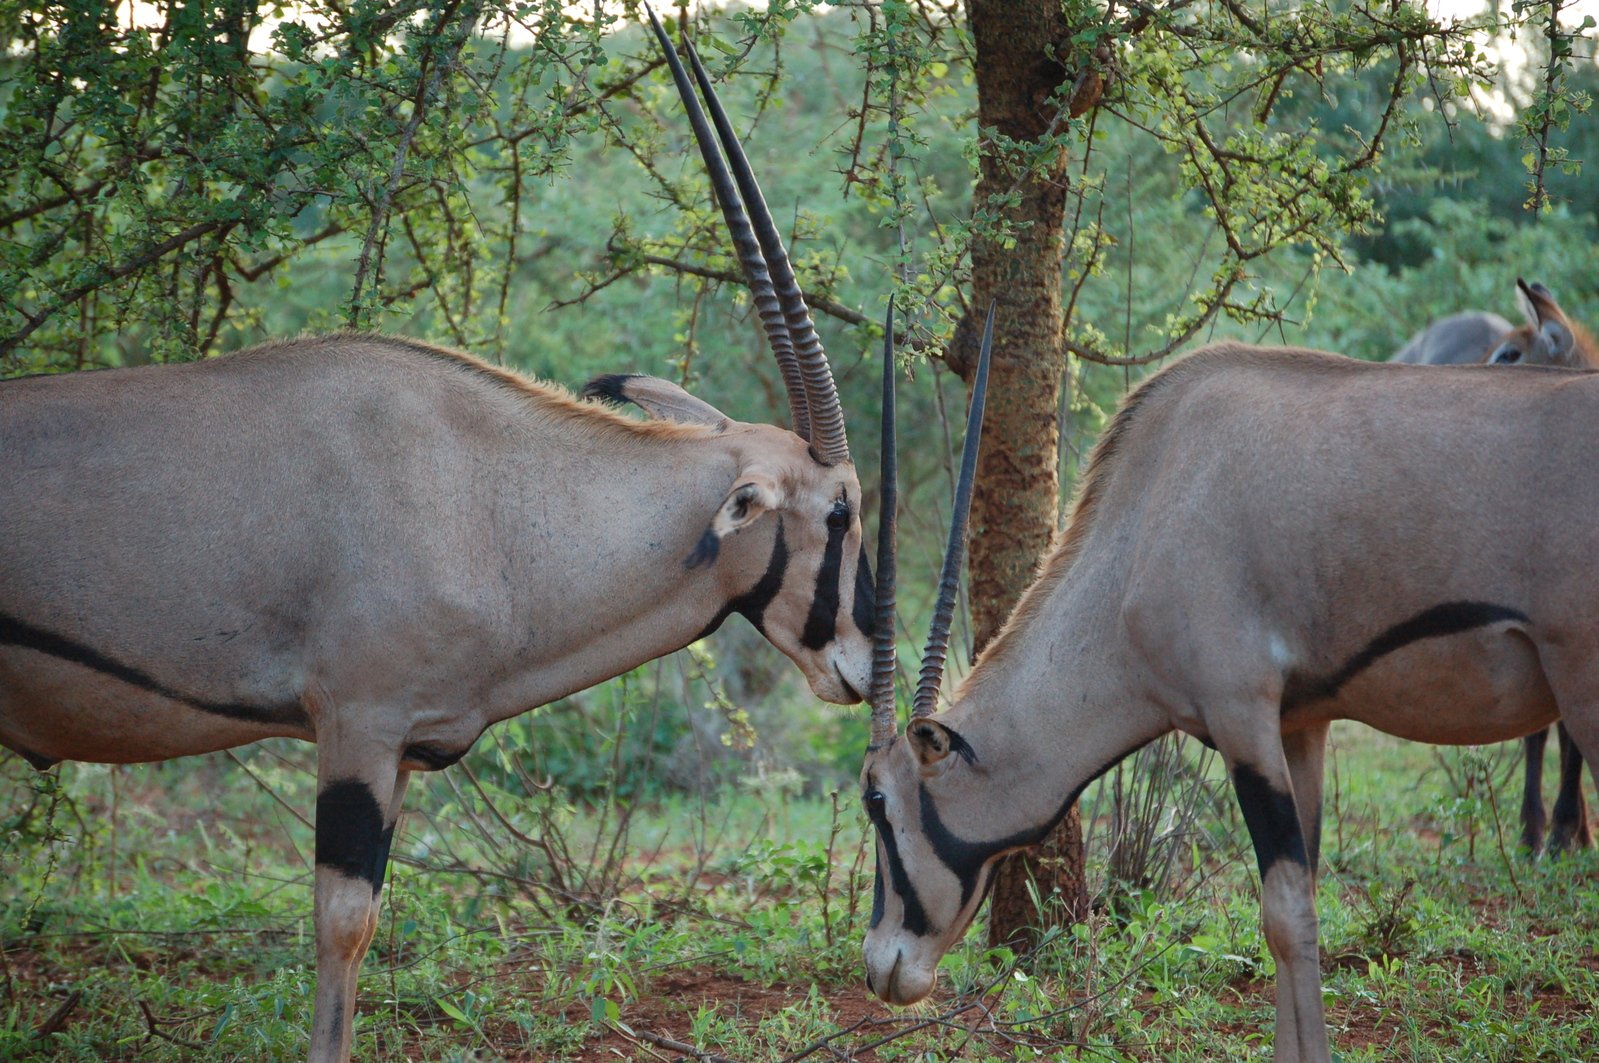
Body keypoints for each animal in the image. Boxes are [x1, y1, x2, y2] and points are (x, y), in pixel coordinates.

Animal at [3, 10, 876, 1061]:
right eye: (840, 512)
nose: (863, 664)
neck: (490, 494)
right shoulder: (358, 726)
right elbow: (345, 925)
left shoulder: (401, 749)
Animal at [863, 340, 1599, 1061]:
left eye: (878, 802)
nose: (879, 968)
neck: (1147, 517)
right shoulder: (1300, 725)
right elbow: (1300, 894)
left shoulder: (1241, 717)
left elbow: (1284, 916)